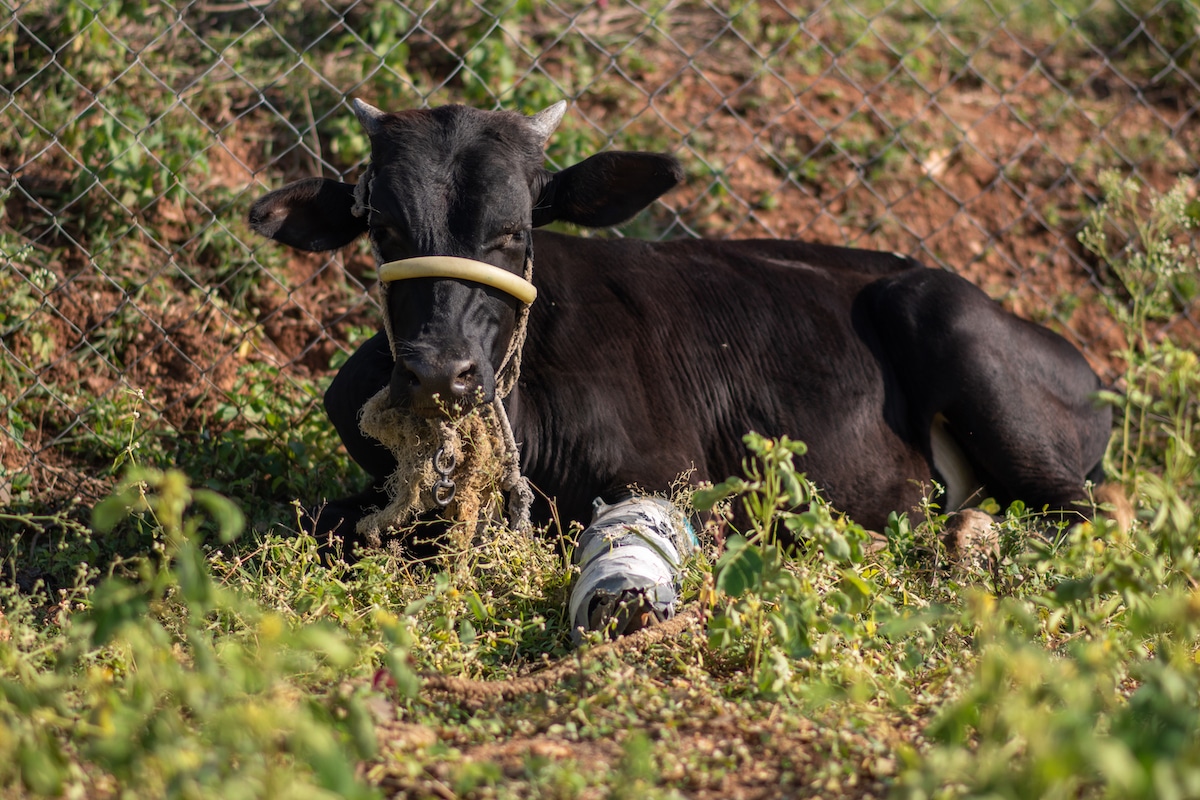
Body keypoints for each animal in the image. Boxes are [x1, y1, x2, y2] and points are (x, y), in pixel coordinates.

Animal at [248, 101, 1108, 544]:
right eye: (382, 226)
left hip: (945, 318)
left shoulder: (679, 483)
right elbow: (319, 522)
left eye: (514, 231)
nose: (437, 373)